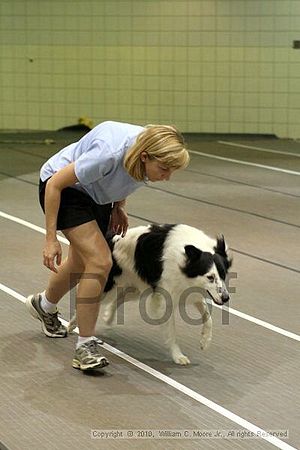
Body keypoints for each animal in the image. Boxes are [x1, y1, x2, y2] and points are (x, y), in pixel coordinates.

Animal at [68, 223, 232, 364]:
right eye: (210, 277)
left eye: (223, 274)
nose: (226, 298)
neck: (185, 260)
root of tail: (110, 239)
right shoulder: (166, 298)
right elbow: (171, 331)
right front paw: (178, 356)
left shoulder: (189, 291)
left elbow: (208, 318)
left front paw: (205, 342)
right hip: (109, 286)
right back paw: (71, 325)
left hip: (137, 288)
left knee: (119, 298)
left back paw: (108, 318)